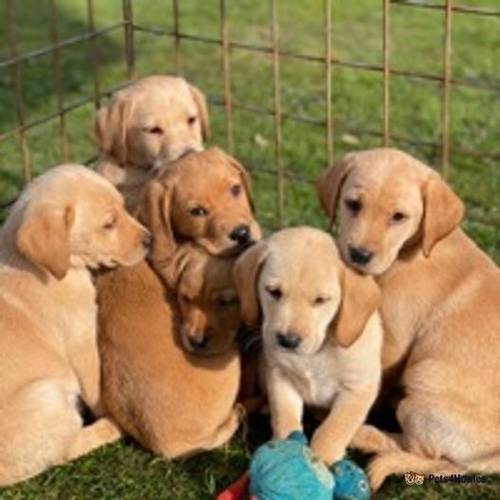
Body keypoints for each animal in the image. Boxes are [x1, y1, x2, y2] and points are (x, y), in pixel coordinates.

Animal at [0, 166, 149, 486]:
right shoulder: (81, 343)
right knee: (64, 451)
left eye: (123, 207)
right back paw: (111, 427)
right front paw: (112, 413)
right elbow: (96, 389)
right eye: (108, 224)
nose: (150, 240)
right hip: (49, 397)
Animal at [232, 227, 380, 464]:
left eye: (321, 300)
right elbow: (286, 419)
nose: (287, 340)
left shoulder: (358, 389)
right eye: (273, 291)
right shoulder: (280, 376)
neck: (315, 354)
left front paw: (322, 461)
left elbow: (334, 429)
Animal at [318, 147, 500, 488]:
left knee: (419, 451)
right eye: (353, 204)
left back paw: (366, 435)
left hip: (424, 377)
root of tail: (492, 461)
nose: (359, 255)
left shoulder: (393, 343)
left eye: (398, 217)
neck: (409, 250)